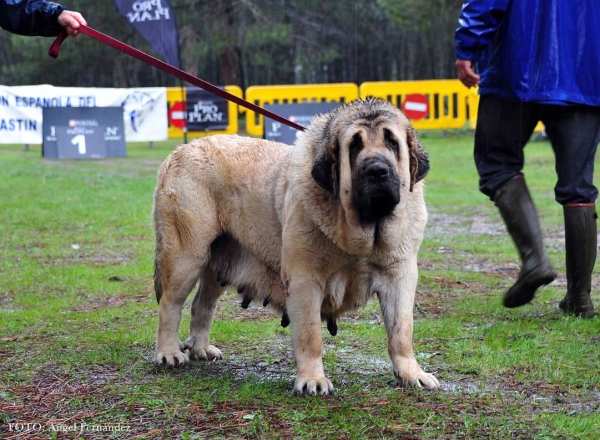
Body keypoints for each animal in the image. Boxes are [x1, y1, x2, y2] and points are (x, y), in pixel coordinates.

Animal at [152, 99, 438, 396]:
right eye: (354, 146)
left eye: (392, 142)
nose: (377, 170)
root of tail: (180, 151)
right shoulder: (305, 280)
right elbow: (310, 335)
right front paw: (313, 379)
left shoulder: (399, 276)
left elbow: (401, 331)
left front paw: (411, 374)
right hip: (185, 257)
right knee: (170, 304)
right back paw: (169, 353)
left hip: (219, 261)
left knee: (202, 304)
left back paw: (200, 348)